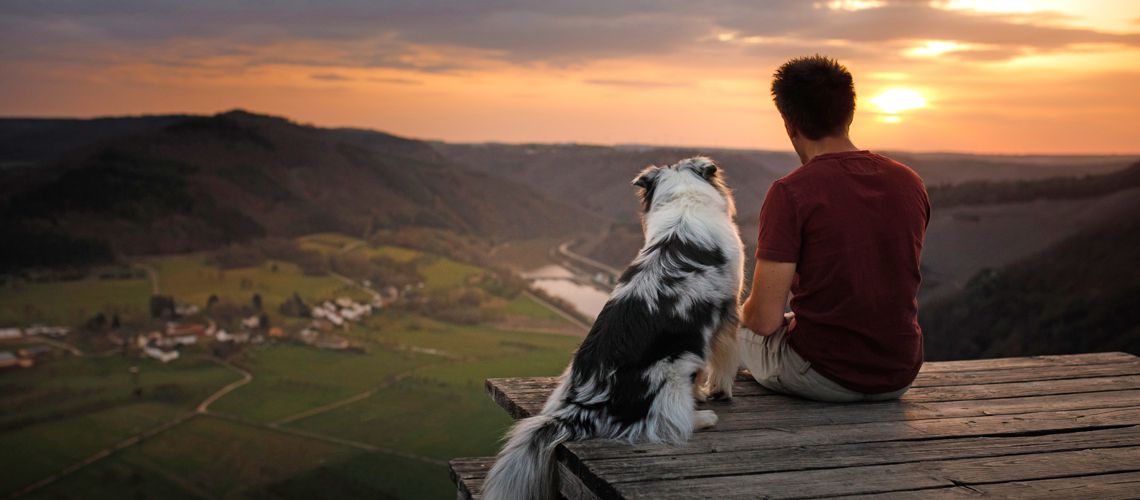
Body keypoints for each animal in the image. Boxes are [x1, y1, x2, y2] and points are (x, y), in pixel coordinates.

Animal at [483, 157, 743, 500]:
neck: (684, 202)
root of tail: (583, 406)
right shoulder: (726, 316)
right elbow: (720, 364)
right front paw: (715, 392)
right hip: (674, 368)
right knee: (667, 421)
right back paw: (701, 418)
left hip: (566, 378)